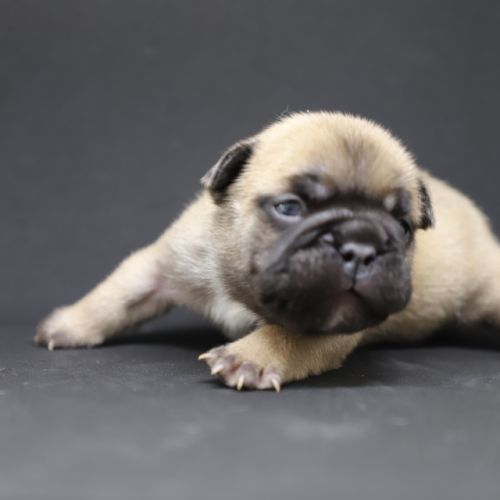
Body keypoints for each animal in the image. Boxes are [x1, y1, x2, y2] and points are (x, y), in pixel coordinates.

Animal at [35, 112, 500, 391]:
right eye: (289, 208)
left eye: (404, 227)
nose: (360, 245)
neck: (243, 290)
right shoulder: (162, 264)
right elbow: (116, 294)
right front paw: (70, 324)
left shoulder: (334, 319)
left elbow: (287, 334)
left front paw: (249, 357)